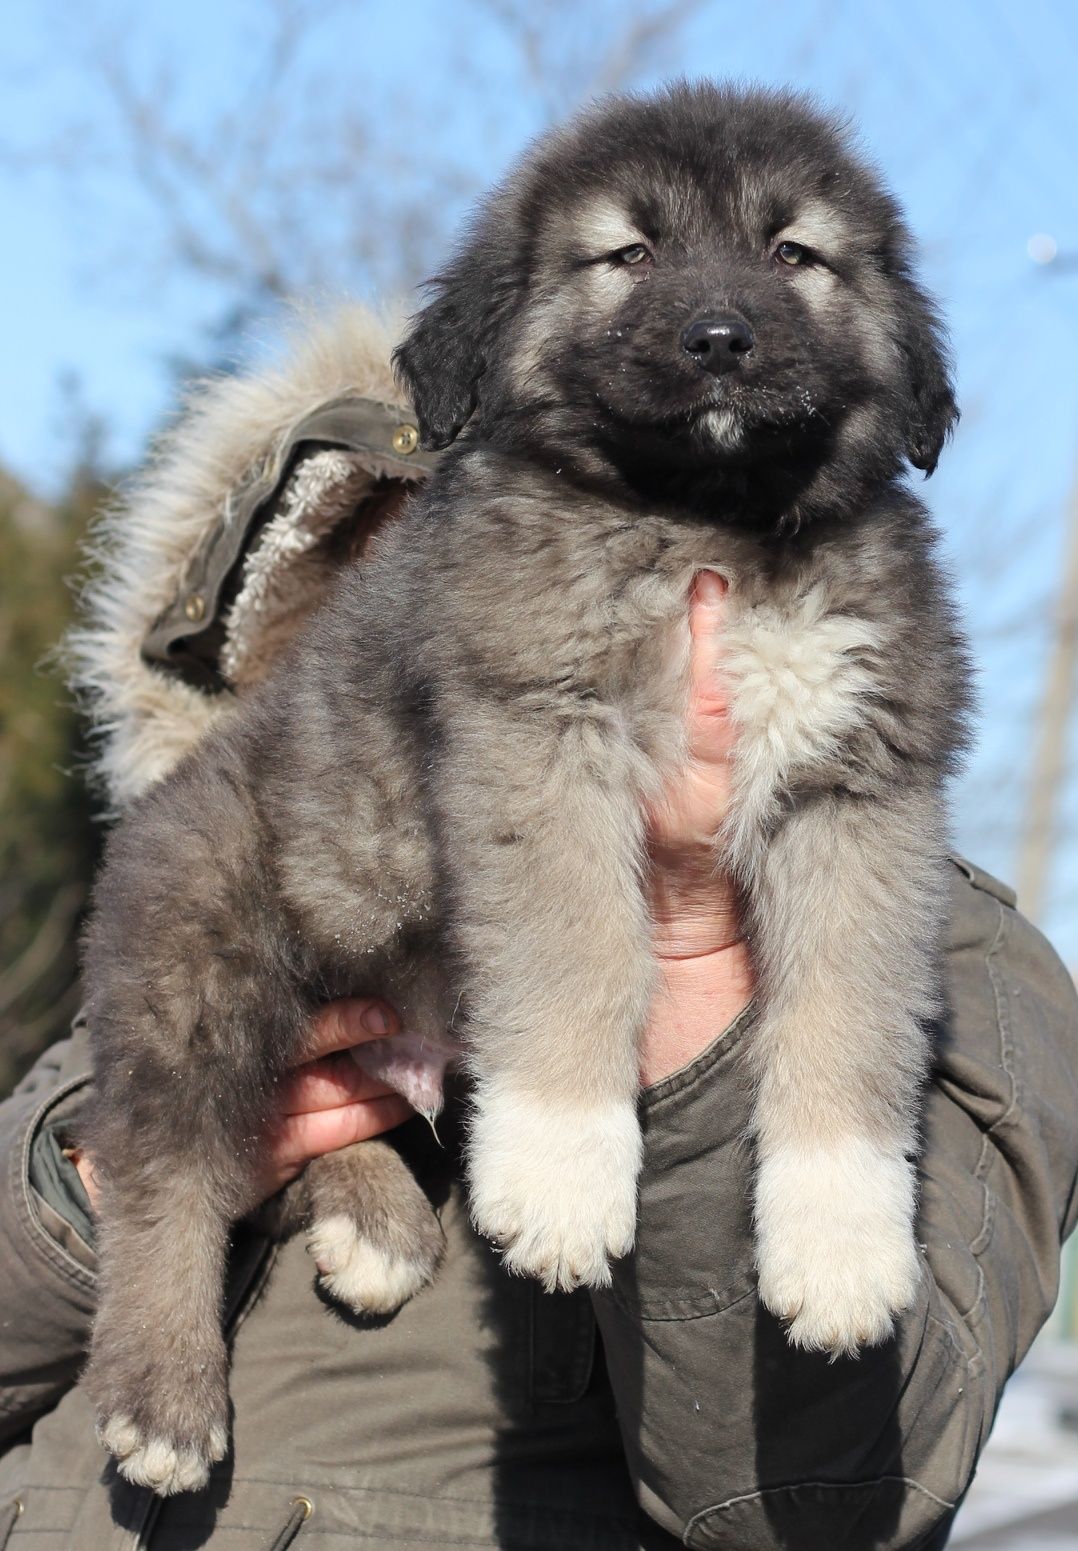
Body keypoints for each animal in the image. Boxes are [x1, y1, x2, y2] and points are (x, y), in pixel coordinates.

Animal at [82, 81, 967, 1488]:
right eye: (630, 254)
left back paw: (377, 1221)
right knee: (168, 1168)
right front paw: (561, 1166)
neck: (707, 518)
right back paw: (162, 1392)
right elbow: (580, 950)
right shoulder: (538, 735)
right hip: (200, 949)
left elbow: (852, 1011)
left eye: (793, 255)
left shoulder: (863, 787)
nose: (722, 341)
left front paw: (842, 1240)